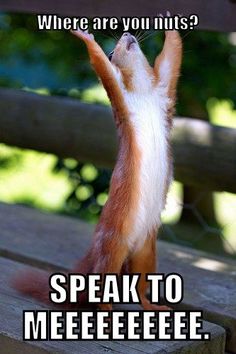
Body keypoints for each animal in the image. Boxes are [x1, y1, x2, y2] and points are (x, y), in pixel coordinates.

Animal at [13, 24, 183, 312]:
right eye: (113, 51)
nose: (126, 34)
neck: (144, 92)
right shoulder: (120, 96)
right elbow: (103, 69)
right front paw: (85, 37)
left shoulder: (164, 90)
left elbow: (171, 58)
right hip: (113, 246)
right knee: (104, 284)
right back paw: (107, 313)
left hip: (146, 252)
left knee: (139, 286)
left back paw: (153, 307)